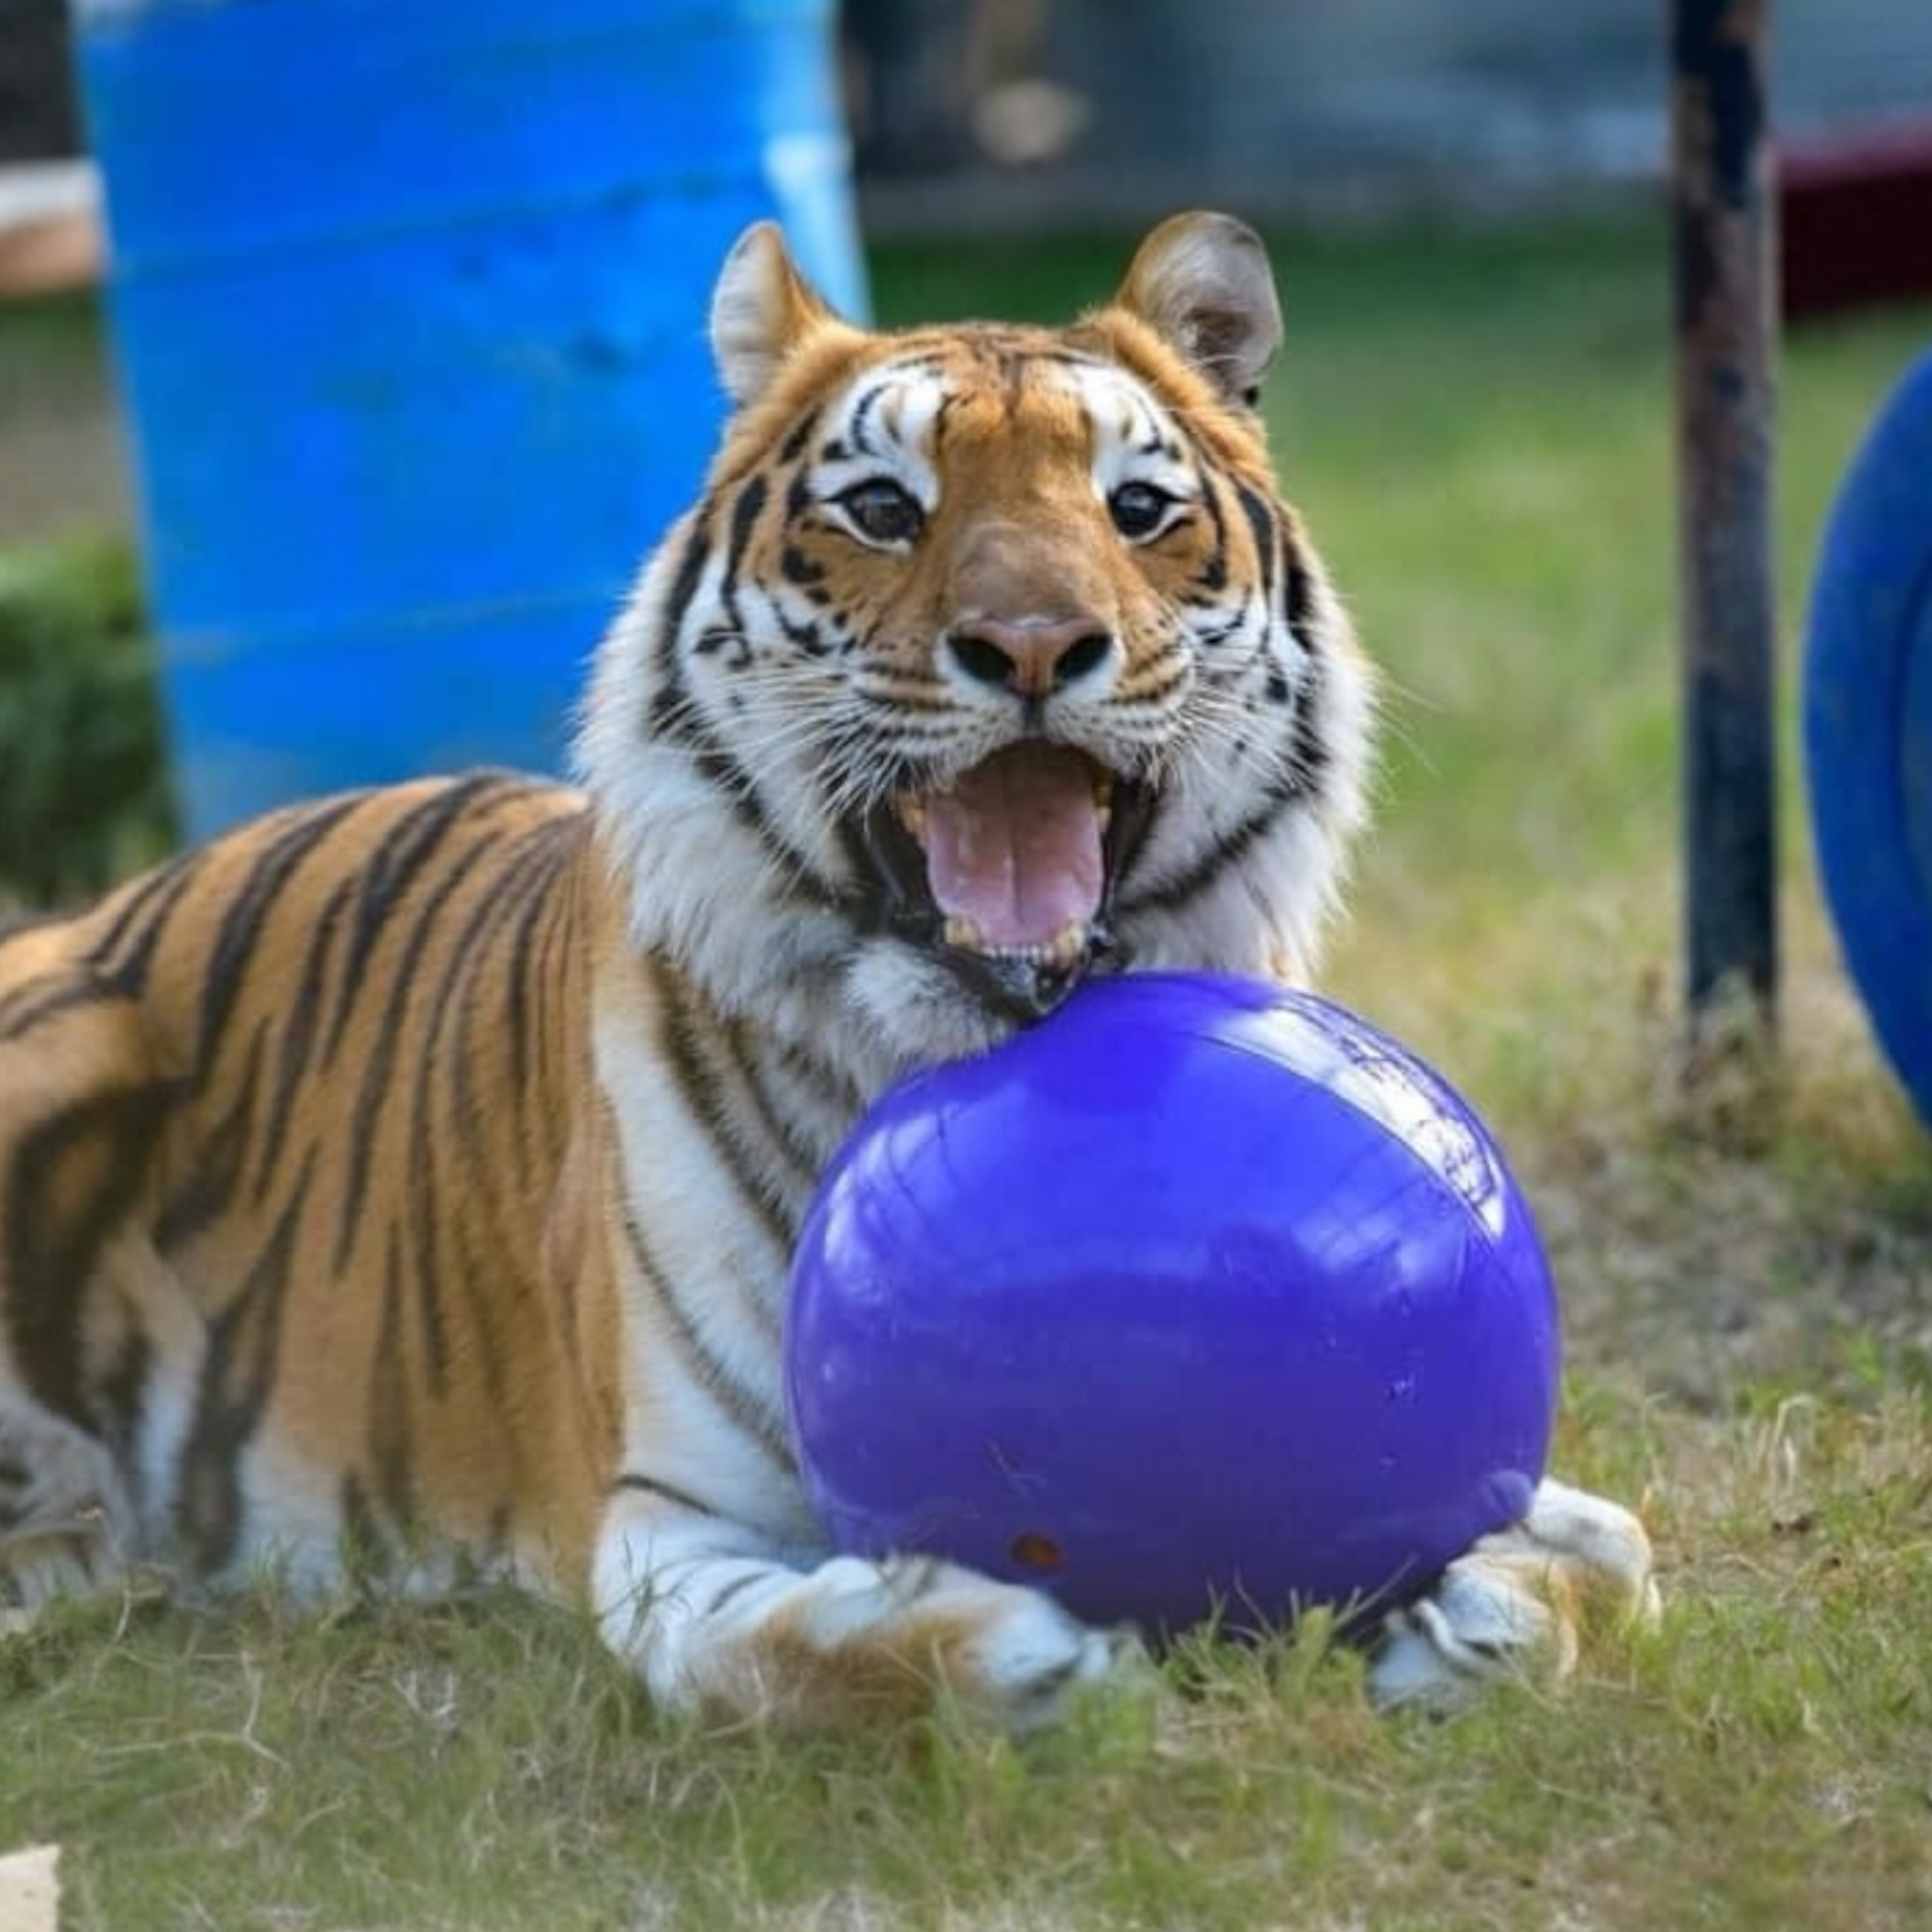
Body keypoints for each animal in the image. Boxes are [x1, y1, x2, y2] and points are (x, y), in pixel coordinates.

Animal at [0, 212, 1656, 1731]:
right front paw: (1024, 1651)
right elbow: (801, 1656)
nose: (1036, 644)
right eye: (879, 507)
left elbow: (1614, 1551)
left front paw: (1484, 1618)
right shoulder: (668, 1522)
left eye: (1135, 509)